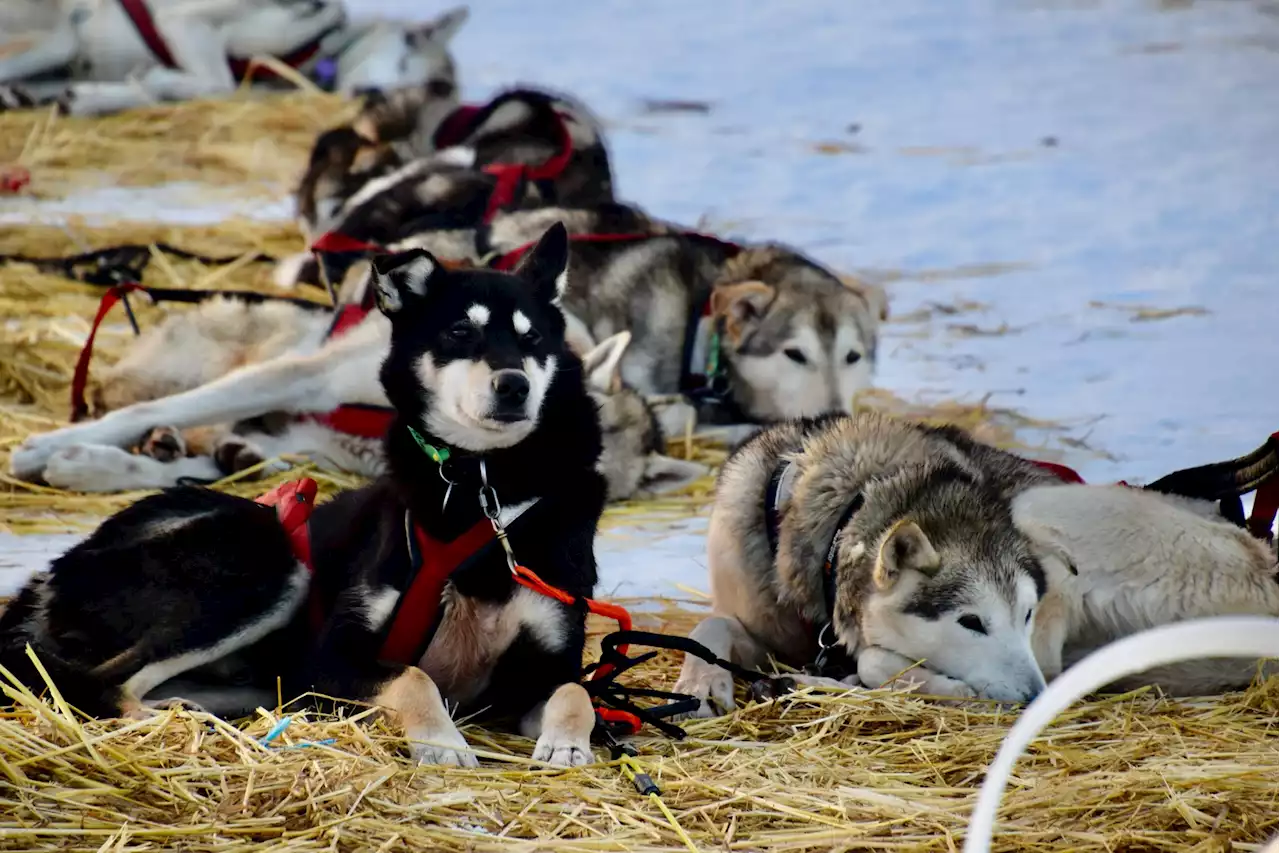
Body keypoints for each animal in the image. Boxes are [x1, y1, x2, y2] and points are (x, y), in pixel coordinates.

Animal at [0, 222, 606, 768]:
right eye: (460, 332)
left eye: (532, 339)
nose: (514, 385)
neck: (482, 488)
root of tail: (53, 573)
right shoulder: (332, 660)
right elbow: (413, 677)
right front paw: (442, 741)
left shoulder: (541, 668)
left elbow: (577, 692)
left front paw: (567, 743)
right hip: (267, 558)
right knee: (100, 685)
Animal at [675, 412, 1274, 712]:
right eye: (970, 622)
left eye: (1024, 614)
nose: (1035, 698)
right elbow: (711, 625)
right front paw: (700, 683)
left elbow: (873, 661)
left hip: (1040, 514)